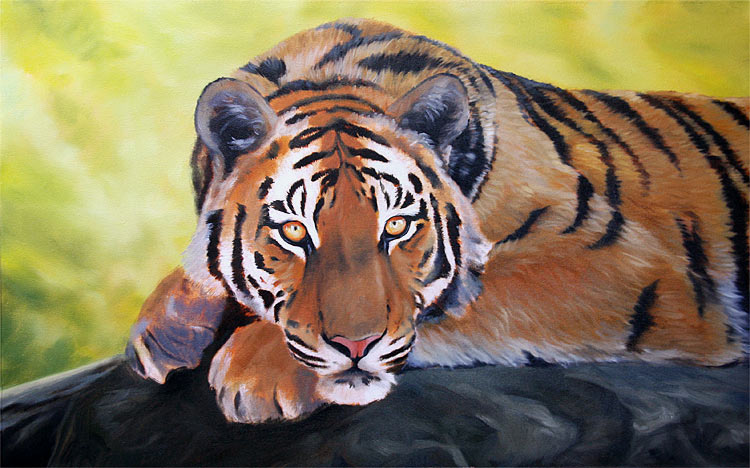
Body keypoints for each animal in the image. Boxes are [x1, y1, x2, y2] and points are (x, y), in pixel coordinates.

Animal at [126, 18, 749, 424]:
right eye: (295, 231)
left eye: (397, 227)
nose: (356, 345)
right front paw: (166, 329)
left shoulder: (623, 264)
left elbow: (466, 298)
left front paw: (259, 367)